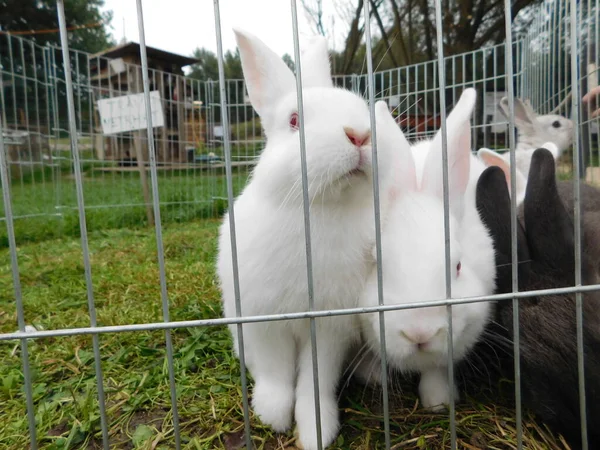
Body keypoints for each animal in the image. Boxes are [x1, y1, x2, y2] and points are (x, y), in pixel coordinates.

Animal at [216, 29, 404, 448]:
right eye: (294, 121)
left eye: (361, 108)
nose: (360, 135)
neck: (319, 208)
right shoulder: (264, 320)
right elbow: (276, 373)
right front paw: (272, 415)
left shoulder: (331, 327)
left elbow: (315, 382)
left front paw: (316, 430)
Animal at [356, 89, 496, 412]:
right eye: (377, 267)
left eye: (458, 266)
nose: (419, 333)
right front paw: (374, 376)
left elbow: (436, 367)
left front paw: (438, 401)